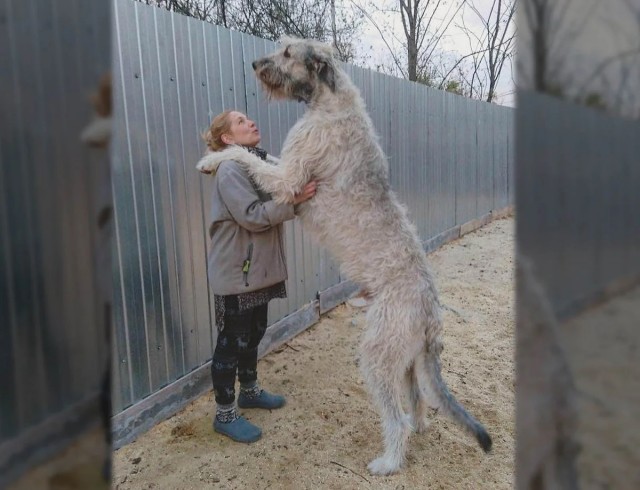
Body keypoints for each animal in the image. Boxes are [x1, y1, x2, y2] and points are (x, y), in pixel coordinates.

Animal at [198, 35, 492, 474]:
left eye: (288, 53)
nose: (255, 63)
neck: (330, 101)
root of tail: (430, 309)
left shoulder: (290, 177)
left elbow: (247, 156)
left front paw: (212, 158)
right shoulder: (288, 165)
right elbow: (260, 156)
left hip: (378, 353)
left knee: (397, 418)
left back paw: (388, 462)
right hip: (405, 356)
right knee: (418, 401)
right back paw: (419, 428)